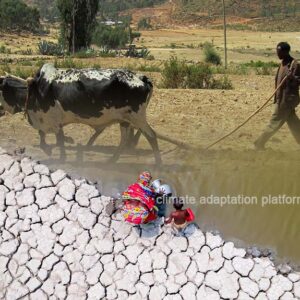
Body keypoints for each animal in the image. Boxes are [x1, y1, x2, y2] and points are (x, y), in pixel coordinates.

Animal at [24, 63, 162, 164]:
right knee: (124, 139)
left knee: (151, 135)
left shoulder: (53, 119)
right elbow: (46, 136)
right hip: (125, 120)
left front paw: (59, 157)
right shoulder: (53, 121)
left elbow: (57, 139)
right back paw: (112, 160)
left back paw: (158, 165)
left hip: (137, 118)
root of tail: (141, 77)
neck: (40, 88)